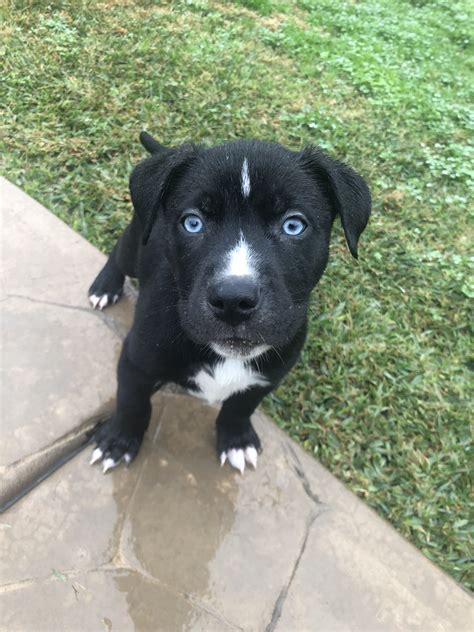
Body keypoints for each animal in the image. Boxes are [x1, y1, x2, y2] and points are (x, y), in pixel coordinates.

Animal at [89, 131, 370, 472]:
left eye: (293, 225)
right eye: (193, 223)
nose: (234, 300)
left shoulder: (268, 376)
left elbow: (241, 406)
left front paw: (236, 440)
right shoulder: (136, 361)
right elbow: (132, 403)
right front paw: (118, 442)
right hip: (137, 245)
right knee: (120, 253)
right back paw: (105, 286)